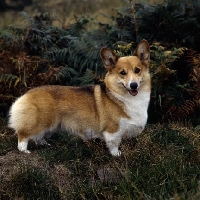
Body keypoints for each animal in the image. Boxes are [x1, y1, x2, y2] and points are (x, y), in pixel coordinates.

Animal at [8, 39, 151, 156]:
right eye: (122, 73)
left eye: (137, 70)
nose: (133, 85)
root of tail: (26, 94)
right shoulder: (113, 131)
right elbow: (114, 145)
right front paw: (117, 155)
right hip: (38, 122)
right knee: (23, 136)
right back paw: (25, 151)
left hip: (49, 125)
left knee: (38, 137)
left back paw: (45, 144)